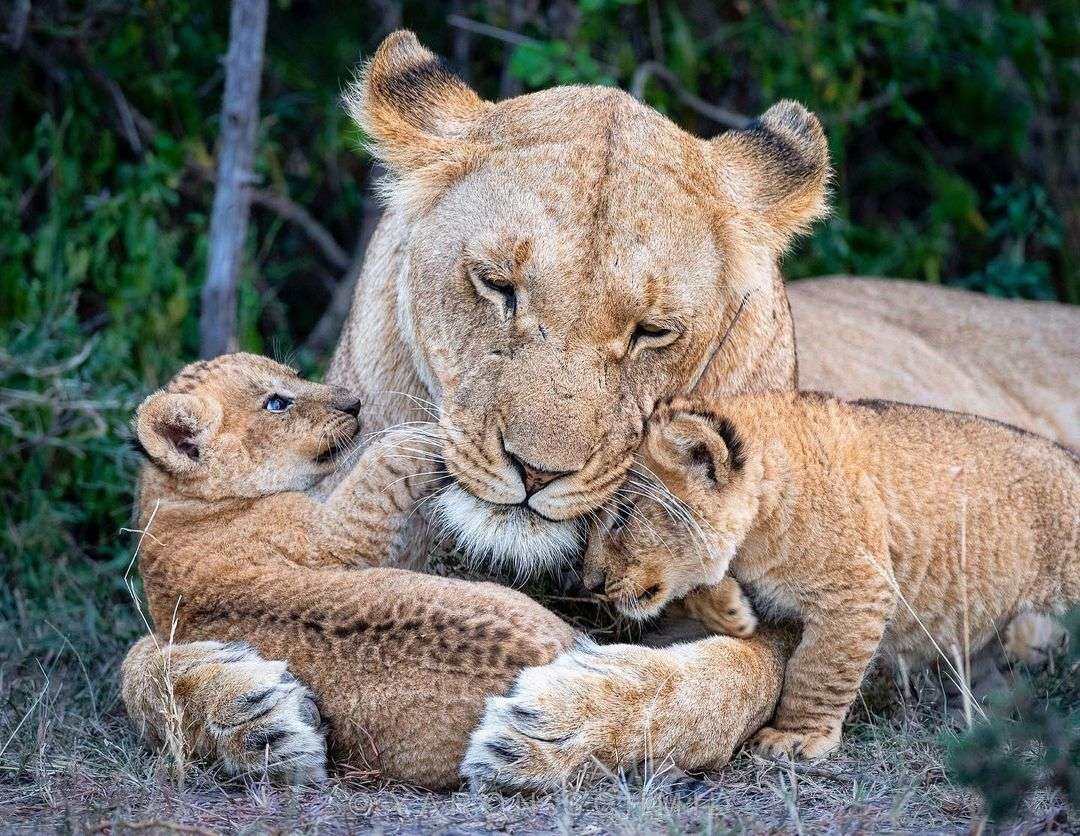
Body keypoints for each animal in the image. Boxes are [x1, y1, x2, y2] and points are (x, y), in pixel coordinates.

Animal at [120, 31, 1080, 790]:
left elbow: (724, 683)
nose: (536, 470)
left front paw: (567, 726)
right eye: (497, 286)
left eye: (652, 331)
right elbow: (139, 663)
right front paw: (245, 716)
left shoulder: (797, 610)